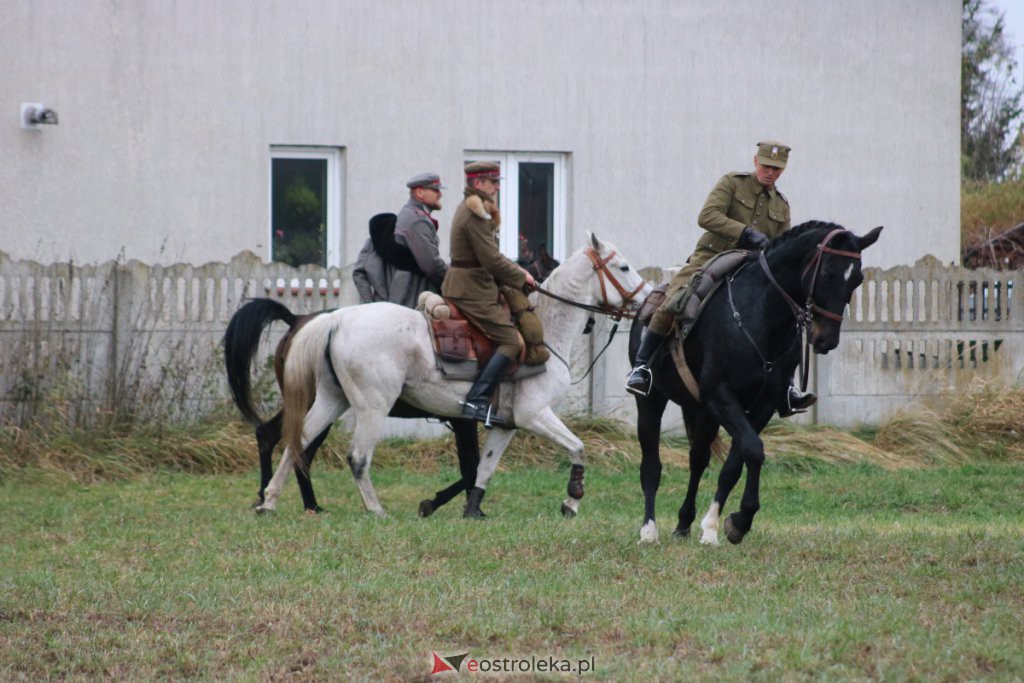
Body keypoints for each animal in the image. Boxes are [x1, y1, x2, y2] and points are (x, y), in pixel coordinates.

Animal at [254, 235, 647, 518]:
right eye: (624, 267)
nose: (645, 302)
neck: (545, 331)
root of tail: (337, 318)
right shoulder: (534, 416)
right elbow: (577, 448)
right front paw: (572, 501)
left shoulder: (506, 424)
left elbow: (483, 469)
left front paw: (471, 509)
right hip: (372, 407)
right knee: (357, 457)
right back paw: (374, 509)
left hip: (331, 400)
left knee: (296, 441)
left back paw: (270, 501)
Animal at [626, 223, 884, 544]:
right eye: (826, 274)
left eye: (857, 278)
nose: (826, 340)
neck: (760, 315)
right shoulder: (721, 396)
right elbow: (754, 450)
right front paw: (738, 519)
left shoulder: (762, 405)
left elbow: (736, 463)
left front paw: (720, 526)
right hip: (651, 401)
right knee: (651, 465)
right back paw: (649, 531)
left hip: (702, 411)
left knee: (697, 460)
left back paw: (683, 524)